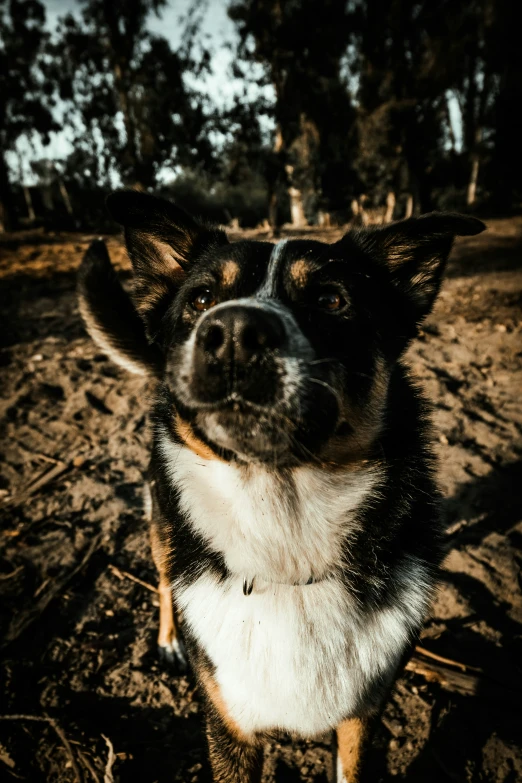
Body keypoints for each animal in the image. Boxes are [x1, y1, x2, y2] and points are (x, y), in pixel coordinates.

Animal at [77, 191, 484, 783]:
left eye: (331, 299)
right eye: (202, 299)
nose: (232, 334)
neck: (283, 541)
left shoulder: (363, 716)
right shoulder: (228, 726)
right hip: (160, 517)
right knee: (164, 575)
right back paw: (170, 639)